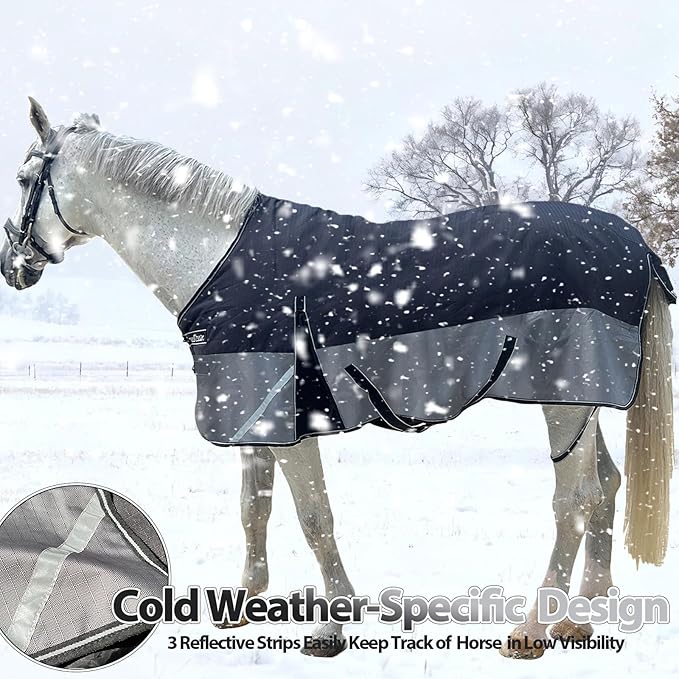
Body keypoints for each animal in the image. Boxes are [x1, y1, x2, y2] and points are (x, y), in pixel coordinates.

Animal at [0, 99, 673, 659]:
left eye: (24, 179)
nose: (14, 268)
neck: (223, 260)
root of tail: (633, 242)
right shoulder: (252, 414)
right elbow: (254, 509)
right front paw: (242, 607)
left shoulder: (288, 419)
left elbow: (312, 516)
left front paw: (333, 625)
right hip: (582, 400)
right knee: (606, 487)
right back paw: (582, 615)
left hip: (564, 400)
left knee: (574, 502)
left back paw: (536, 629)